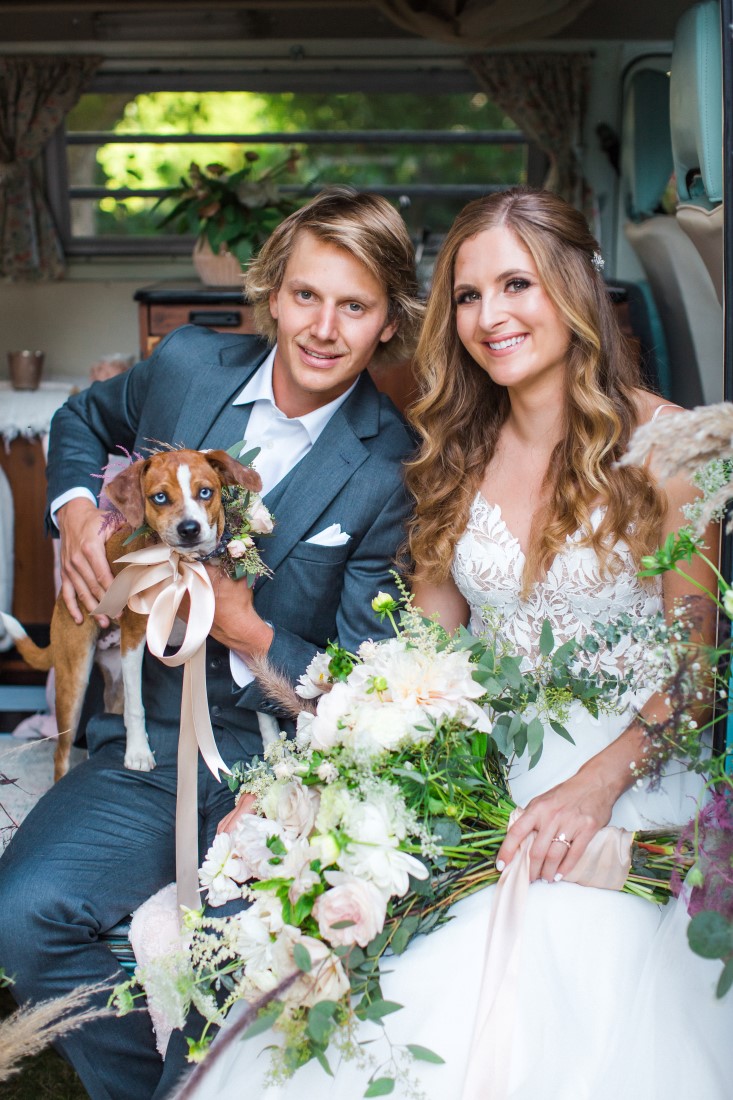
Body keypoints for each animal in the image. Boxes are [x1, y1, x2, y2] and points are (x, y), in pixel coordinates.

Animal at [0, 446, 259, 783]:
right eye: (159, 497)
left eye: (205, 492)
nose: (189, 529)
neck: (183, 567)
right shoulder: (134, 640)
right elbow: (137, 708)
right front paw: (137, 753)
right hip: (75, 678)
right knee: (62, 752)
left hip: (113, 676)